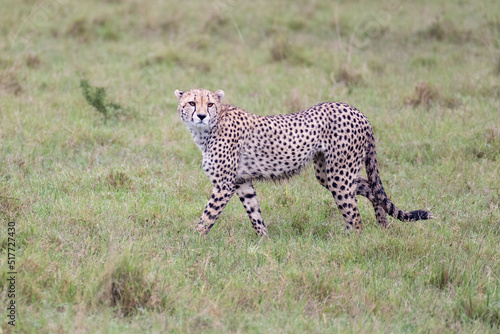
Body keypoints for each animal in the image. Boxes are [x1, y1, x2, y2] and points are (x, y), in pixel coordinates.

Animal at [174, 87, 432, 236]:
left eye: (209, 104)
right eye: (191, 103)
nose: (201, 115)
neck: (208, 129)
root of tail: (357, 111)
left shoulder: (224, 185)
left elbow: (208, 215)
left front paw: (192, 241)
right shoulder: (242, 182)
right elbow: (254, 213)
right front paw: (264, 241)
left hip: (339, 174)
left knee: (355, 215)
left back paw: (350, 243)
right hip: (328, 173)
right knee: (368, 186)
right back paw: (382, 226)